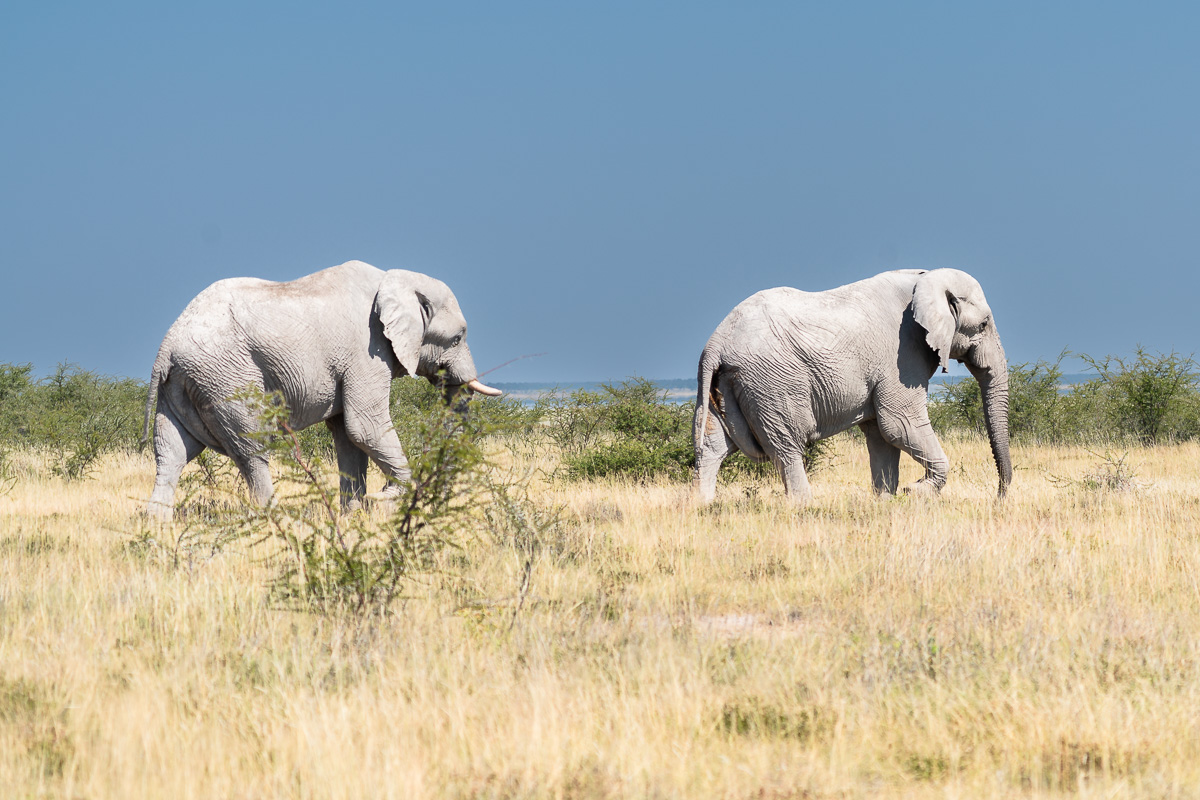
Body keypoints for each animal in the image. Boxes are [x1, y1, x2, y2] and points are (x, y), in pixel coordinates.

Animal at [142, 260, 501, 521]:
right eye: (457, 338)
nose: (383, 493)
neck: (394, 279)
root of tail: (166, 346)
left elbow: (347, 435)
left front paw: (354, 516)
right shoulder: (367, 350)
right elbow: (364, 427)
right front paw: (391, 497)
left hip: (184, 385)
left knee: (173, 451)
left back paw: (157, 526)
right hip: (227, 379)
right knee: (252, 449)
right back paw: (280, 522)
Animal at [693, 268, 1011, 504]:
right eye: (983, 325)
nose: (999, 498)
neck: (926, 278)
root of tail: (716, 343)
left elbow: (881, 435)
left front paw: (886, 501)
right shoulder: (902, 355)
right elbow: (898, 423)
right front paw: (915, 491)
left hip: (724, 383)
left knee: (712, 444)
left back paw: (702, 506)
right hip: (772, 383)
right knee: (787, 445)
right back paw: (803, 506)